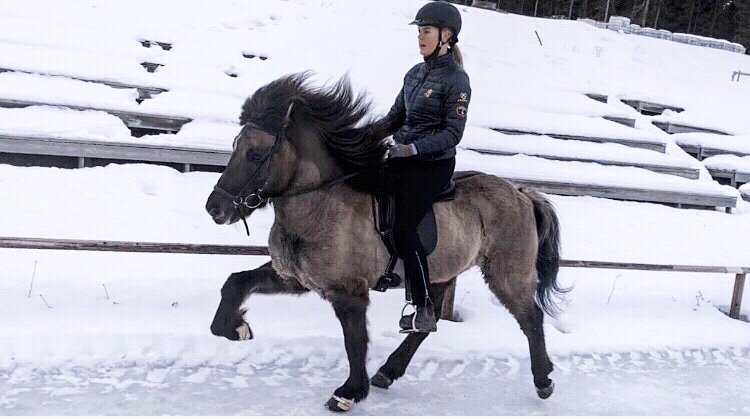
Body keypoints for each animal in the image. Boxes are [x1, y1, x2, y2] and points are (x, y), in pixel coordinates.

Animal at [206, 72, 568, 414]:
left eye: (255, 153)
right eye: (235, 145)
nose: (215, 208)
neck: (321, 205)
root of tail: (521, 193)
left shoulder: (349, 291)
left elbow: (355, 340)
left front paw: (348, 393)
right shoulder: (296, 278)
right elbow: (235, 283)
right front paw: (236, 328)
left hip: (506, 273)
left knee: (531, 318)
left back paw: (544, 381)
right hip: (439, 275)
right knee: (426, 324)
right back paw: (388, 372)